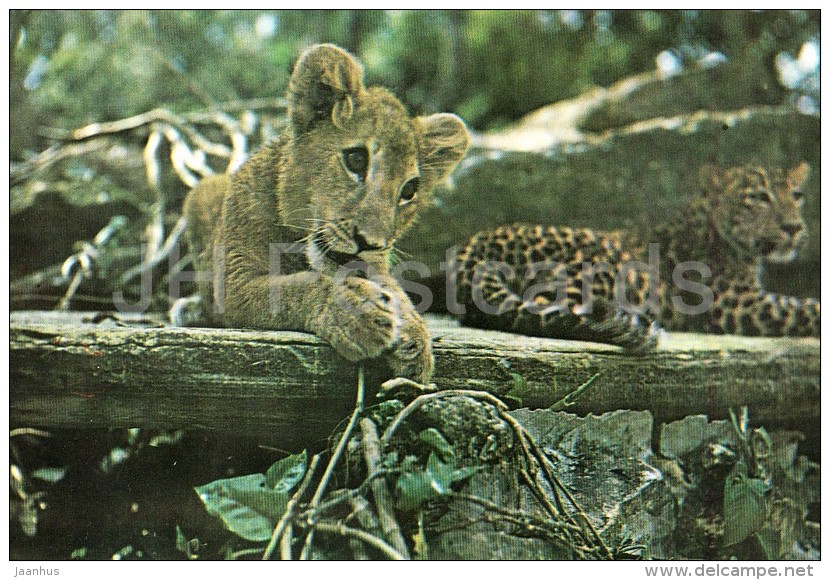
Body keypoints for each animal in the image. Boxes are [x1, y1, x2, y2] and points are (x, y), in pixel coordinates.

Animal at [452, 161, 824, 352]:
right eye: (759, 197)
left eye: (796, 195)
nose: (794, 227)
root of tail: (475, 241)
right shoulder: (737, 304)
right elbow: (807, 307)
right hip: (597, 265)